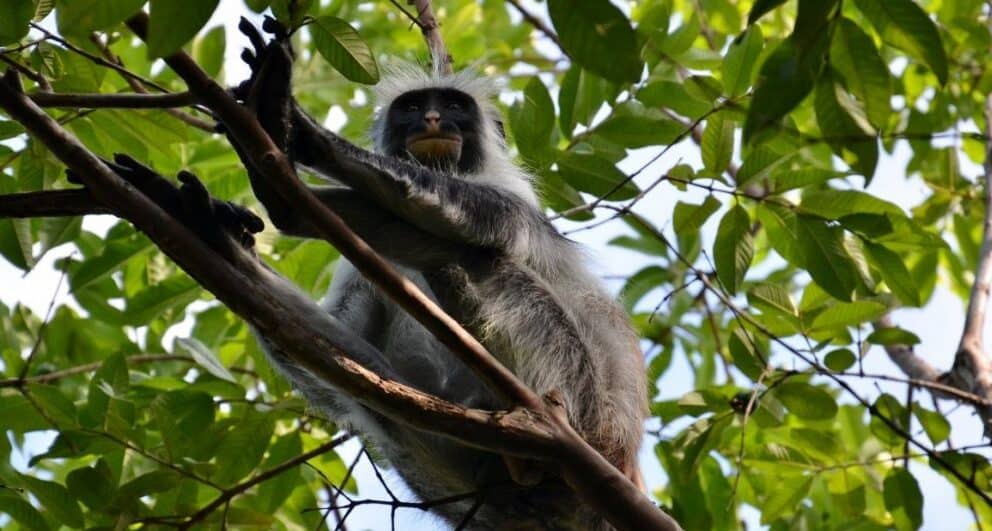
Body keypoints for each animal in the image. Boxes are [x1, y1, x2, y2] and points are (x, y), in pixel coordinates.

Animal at [225, 20, 649, 530]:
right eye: (411, 108)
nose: (431, 119)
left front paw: (301, 129)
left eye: (452, 106)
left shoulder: (506, 189)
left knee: (482, 259)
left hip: (586, 403)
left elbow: (487, 226)